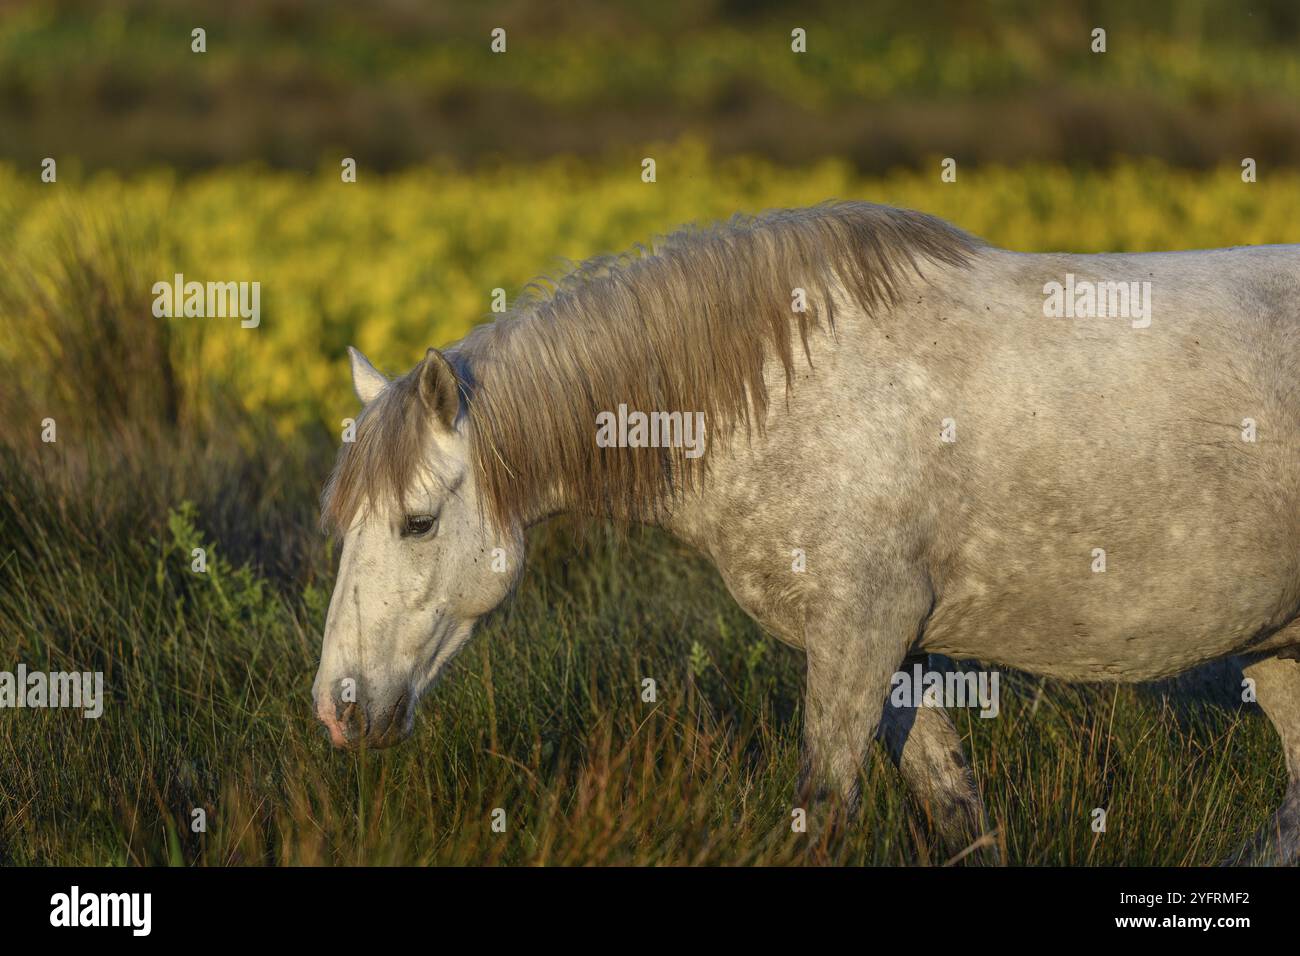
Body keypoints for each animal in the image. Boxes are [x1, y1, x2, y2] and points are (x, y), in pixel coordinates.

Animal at [312, 205, 1300, 863]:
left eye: (418, 522)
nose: (338, 708)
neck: (779, 397)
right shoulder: (896, 652)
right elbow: (959, 815)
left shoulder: (859, 638)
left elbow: (821, 813)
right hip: (1279, 650)